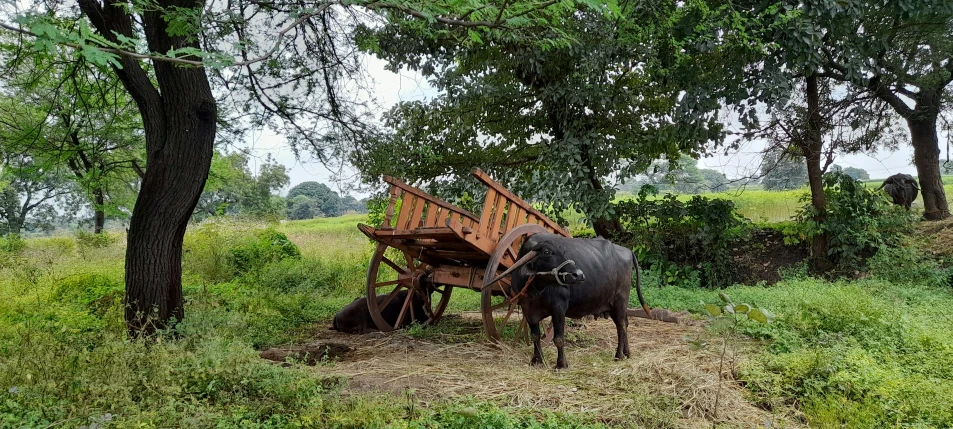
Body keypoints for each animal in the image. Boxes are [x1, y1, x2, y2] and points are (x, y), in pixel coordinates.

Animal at [488, 232, 652, 370]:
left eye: (564, 252)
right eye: (547, 252)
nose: (578, 274)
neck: (535, 289)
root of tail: (628, 251)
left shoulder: (559, 308)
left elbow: (559, 338)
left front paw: (561, 364)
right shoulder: (527, 310)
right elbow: (535, 336)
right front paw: (536, 360)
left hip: (620, 300)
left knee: (621, 326)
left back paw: (619, 355)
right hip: (614, 305)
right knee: (625, 324)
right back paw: (627, 353)